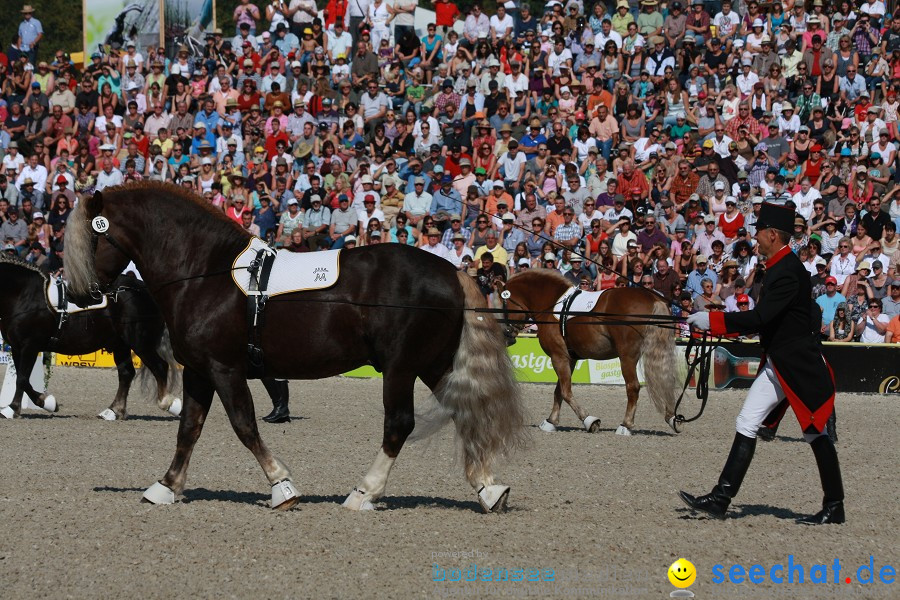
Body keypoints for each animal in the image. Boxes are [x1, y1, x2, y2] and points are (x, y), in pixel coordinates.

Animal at [0, 255, 181, 420]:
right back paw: (114, 410)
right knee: (126, 373)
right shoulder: (17, 348)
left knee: (159, 366)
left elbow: (22, 379)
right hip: (120, 344)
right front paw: (46, 402)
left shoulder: (30, 346)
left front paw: (14, 409)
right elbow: (23, 379)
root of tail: (145, 290)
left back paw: (169, 404)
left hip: (140, 343)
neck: (25, 294)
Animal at [65, 182, 528, 510]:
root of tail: (452, 272)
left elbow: (244, 426)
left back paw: (364, 493)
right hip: (432, 364)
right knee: (461, 414)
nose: (80, 295)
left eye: (91, 238)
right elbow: (188, 430)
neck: (204, 272)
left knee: (399, 424)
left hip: (400, 368)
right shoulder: (199, 370)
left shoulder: (223, 368)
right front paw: (165, 486)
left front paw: (282, 487)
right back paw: (489, 489)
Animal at [496, 270, 680, 436]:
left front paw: (589, 421)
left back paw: (626, 425)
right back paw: (671, 418)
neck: (552, 306)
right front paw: (551, 421)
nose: (506, 334)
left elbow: (566, 391)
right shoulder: (569, 358)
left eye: (503, 304)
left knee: (633, 387)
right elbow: (558, 390)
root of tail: (653, 298)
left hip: (627, 357)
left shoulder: (558, 356)